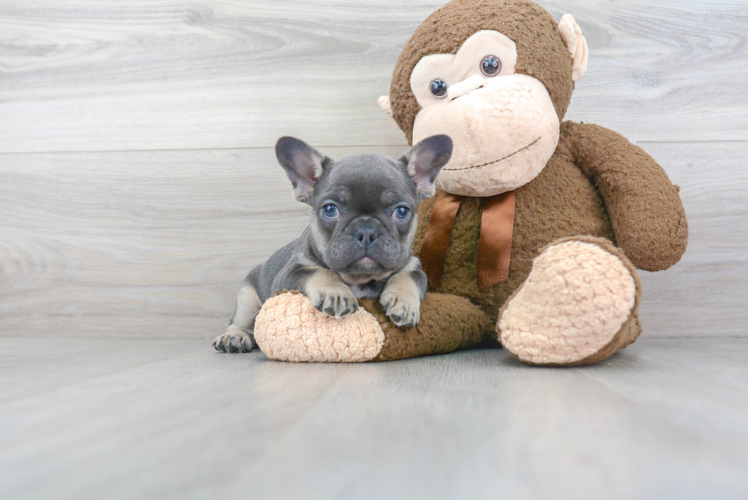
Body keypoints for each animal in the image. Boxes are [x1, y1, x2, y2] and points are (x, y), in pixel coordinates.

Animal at [213, 133, 452, 352]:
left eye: (402, 211)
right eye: (330, 209)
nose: (366, 230)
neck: (359, 278)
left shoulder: (413, 266)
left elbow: (409, 277)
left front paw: (403, 301)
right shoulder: (289, 273)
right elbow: (317, 271)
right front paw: (335, 293)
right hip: (246, 295)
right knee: (241, 321)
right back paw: (234, 337)